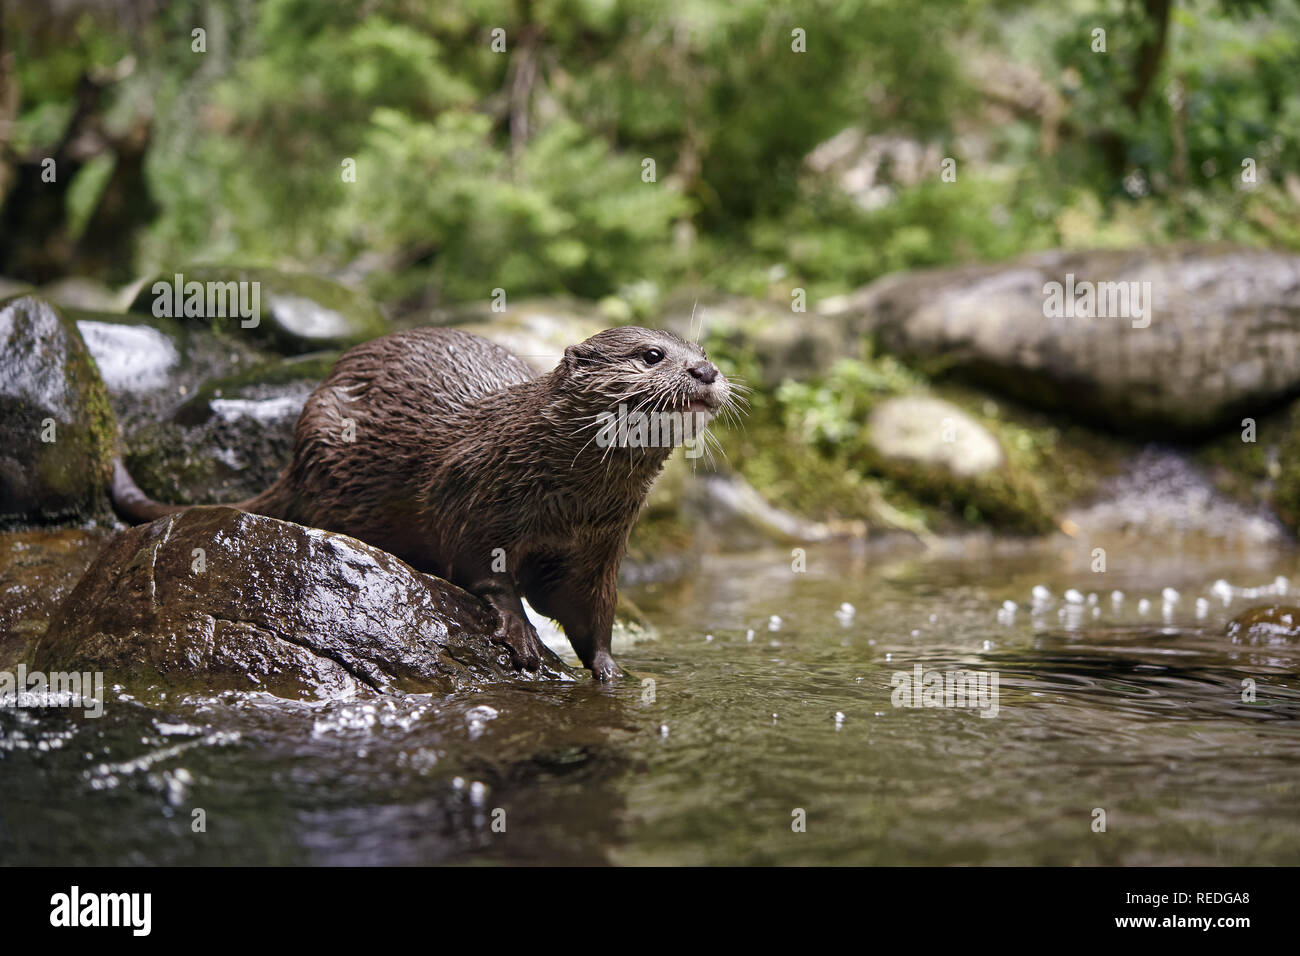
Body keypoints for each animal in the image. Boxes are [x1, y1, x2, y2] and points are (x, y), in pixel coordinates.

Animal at [111, 327, 733, 681]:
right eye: (652, 355)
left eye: (704, 352)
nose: (705, 371)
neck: (568, 499)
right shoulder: (475, 493)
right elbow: (486, 571)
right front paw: (520, 632)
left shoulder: (599, 549)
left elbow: (591, 613)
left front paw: (612, 670)